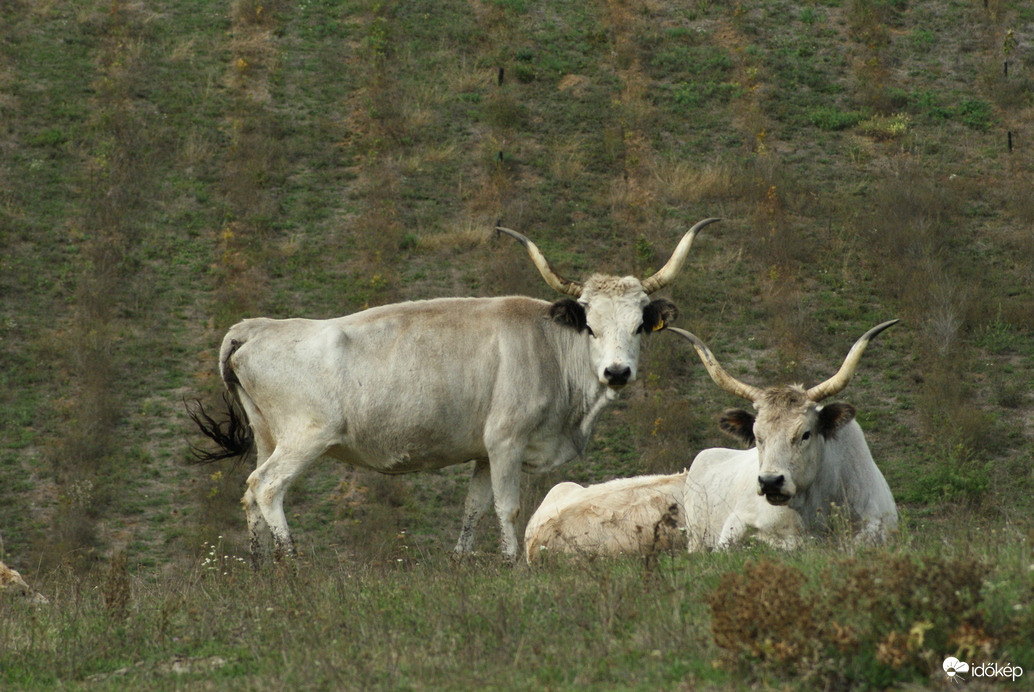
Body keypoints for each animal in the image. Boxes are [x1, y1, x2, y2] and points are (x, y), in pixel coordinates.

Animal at [190, 218, 719, 558]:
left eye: (638, 325)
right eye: (590, 326)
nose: (616, 372)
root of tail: (257, 327)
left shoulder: (483, 452)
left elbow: (473, 509)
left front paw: (463, 561)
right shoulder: (506, 442)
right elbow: (508, 508)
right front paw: (512, 566)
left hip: (268, 437)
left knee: (249, 495)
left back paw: (260, 568)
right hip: (304, 438)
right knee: (266, 488)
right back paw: (292, 561)